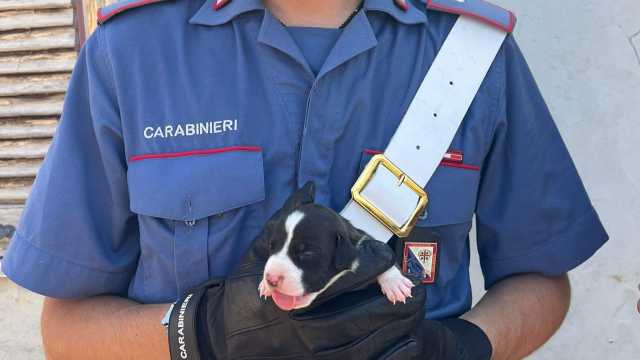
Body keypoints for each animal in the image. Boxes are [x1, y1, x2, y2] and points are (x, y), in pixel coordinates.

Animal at [258, 184, 416, 310]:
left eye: (308, 253)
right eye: (271, 245)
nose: (271, 279)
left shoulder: (363, 237)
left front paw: (395, 282)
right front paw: (264, 284)